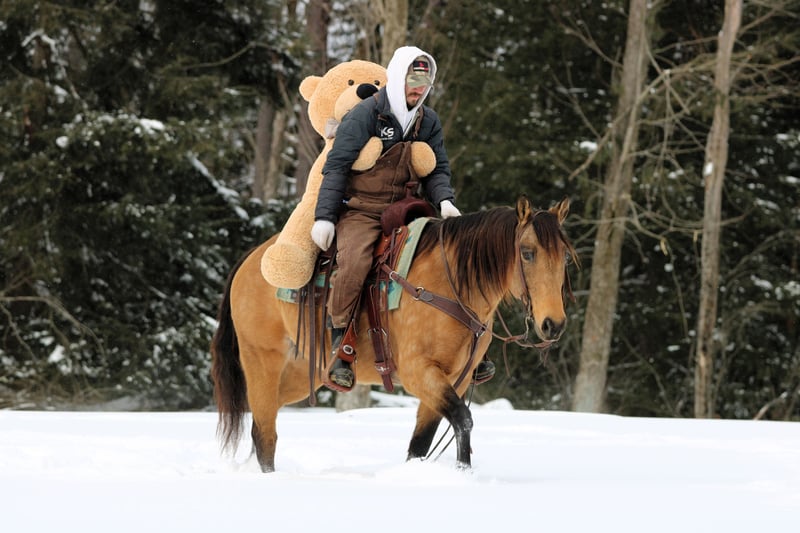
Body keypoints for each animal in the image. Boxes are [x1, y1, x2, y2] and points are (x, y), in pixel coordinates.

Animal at [211, 196, 576, 472]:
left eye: (565, 259)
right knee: (266, 435)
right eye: (527, 253)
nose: (553, 324)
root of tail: (250, 260)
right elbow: (463, 419)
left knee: (263, 421)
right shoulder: (418, 372)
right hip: (263, 361)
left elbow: (421, 444)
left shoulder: (452, 380)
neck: (448, 286)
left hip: (302, 374)